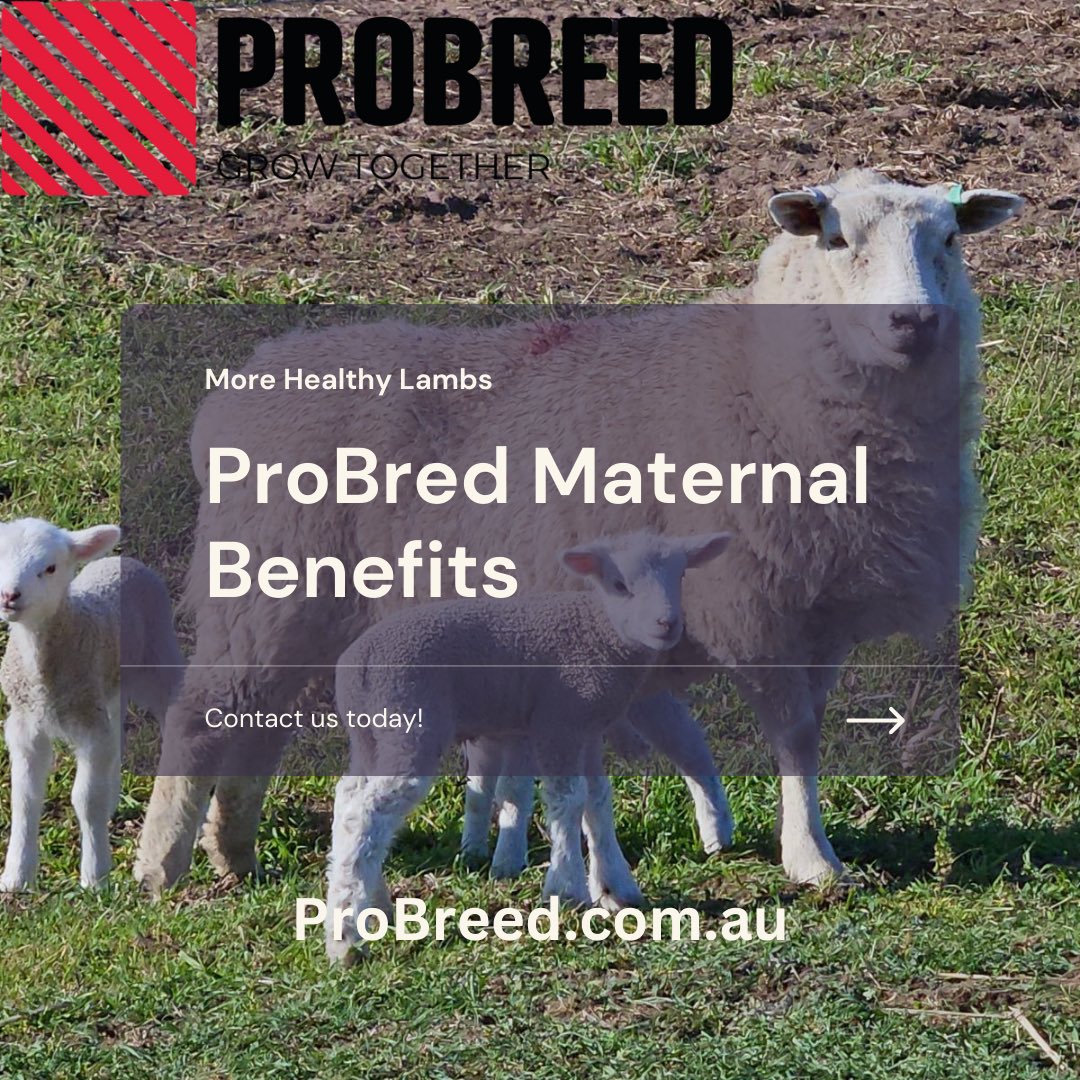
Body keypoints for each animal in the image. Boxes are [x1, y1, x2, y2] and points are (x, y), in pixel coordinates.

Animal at [0, 519, 183, 890]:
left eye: (50, 568)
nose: (9, 595)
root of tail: (122, 560)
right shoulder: (24, 724)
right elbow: (25, 799)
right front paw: (16, 877)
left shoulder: (88, 724)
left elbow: (85, 798)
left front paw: (95, 877)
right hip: (109, 688)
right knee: (116, 735)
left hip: (158, 656)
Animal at [134, 169, 1023, 893]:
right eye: (837, 240)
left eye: (948, 239)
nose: (912, 322)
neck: (763, 380)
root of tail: (232, 396)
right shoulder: (752, 599)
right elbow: (795, 735)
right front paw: (813, 860)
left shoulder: (821, 607)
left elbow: (800, 728)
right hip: (264, 579)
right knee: (200, 714)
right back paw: (158, 866)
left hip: (303, 601)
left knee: (257, 721)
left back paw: (234, 852)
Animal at [326, 529, 731, 962]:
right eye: (620, 585)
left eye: (680, 575)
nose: (666, 624)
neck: (598, 632)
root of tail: (357, 664)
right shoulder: (560, 719)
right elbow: (568, 800)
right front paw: (566, 890)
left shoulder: (587, 729)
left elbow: (597, 803)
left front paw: (615, 888)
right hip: (409, 722)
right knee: (368, 813)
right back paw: (346, 937)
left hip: (371, 735)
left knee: (348, 799)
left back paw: (373, 903)